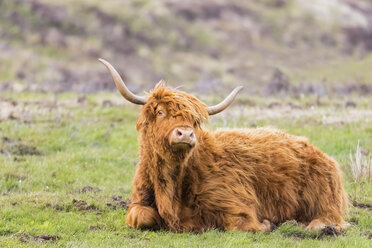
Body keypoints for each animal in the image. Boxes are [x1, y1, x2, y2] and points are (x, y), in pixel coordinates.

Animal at [99, 58, 348, 232]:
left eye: (195, 121)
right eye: (160, 112)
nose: (185, 133)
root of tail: (316, 151)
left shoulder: (236, 204)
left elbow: (244, 225)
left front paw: (269, 224)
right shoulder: (138, 199)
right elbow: (140, 216)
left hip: (325, 201)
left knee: (330, 219)